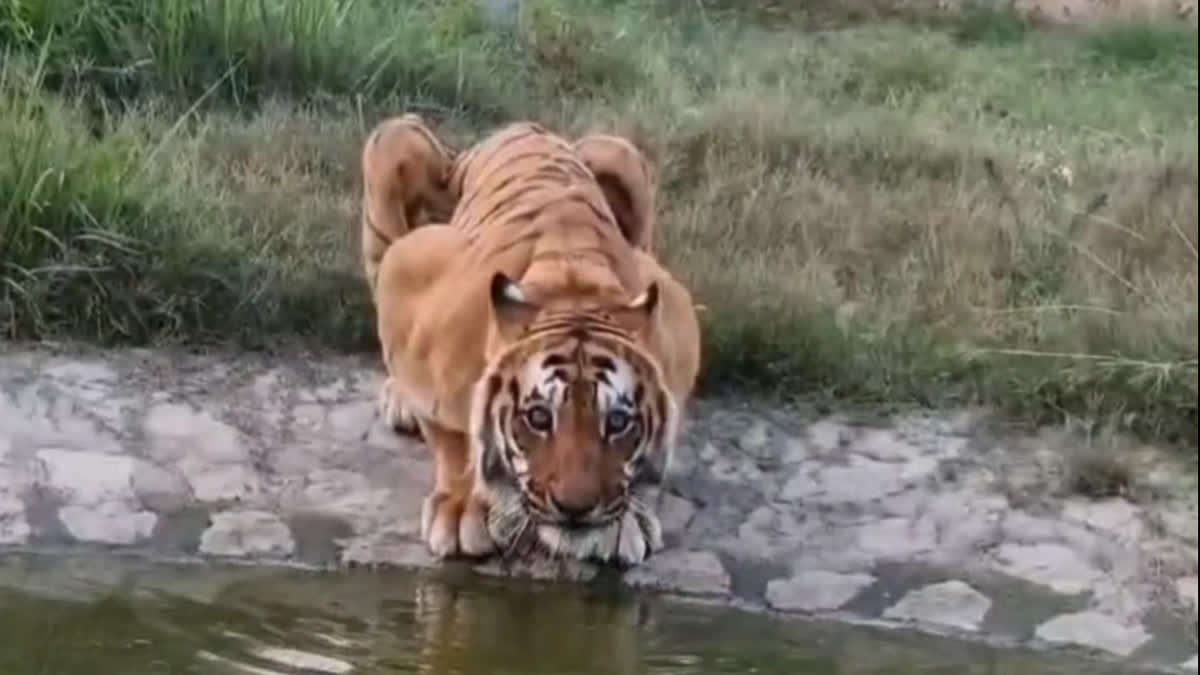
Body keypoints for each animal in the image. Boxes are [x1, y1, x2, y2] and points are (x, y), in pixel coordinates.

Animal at [361, 115, 701, 567]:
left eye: (615, 421)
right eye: (538, 418)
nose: (575, 506)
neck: (572, 283)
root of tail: (514, 128)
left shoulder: (675, 318)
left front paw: (624, 521)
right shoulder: (408, 274)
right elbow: (453, 431)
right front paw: (463, 510)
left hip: (619, 154)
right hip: (396, 141)